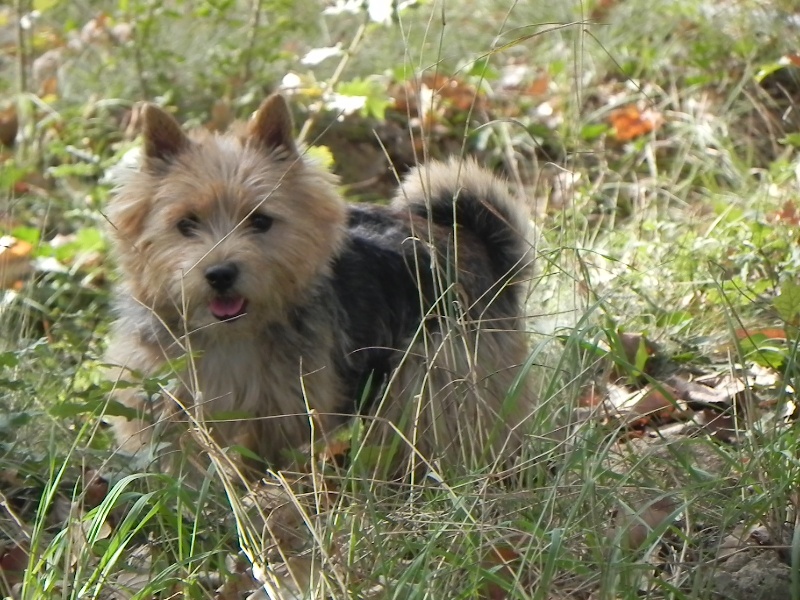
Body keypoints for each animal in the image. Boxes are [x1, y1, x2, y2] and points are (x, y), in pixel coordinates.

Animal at [103, 94, 536, 474]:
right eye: (186, 224)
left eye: (261, 221)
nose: (220, 273)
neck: (231, 336)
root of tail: (479, 246)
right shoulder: (164, 402)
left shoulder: (287, 413)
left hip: (442, 372)